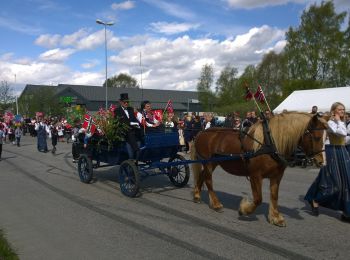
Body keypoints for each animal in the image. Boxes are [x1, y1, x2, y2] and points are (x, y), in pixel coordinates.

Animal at [191, 112, 328, 226]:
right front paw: (244, 210)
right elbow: (258, 199)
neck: (270, 144)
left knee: (202, 176)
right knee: (208, 180)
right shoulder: (255, 175)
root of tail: (201, 133)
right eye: (316, 137)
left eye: (327, 137)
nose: (321, 162)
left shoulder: (276, 176)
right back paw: (216, 204)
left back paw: (197, 196)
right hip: (208, 162)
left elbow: (274, 196)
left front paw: (275, 218)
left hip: (213, 163)